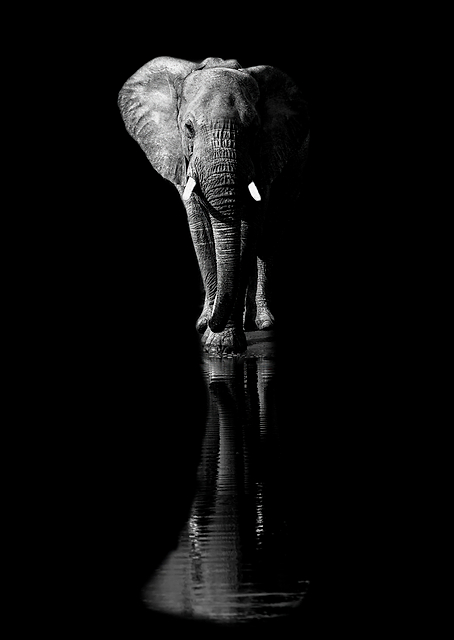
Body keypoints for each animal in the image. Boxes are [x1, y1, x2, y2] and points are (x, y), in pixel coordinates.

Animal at [118, 56, 309, 355]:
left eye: (254, 129)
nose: (210, 323)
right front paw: (208, 329)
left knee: (268, 238)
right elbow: (202, 233)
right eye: (188, 128)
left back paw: (261, 322)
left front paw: (222, 345)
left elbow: (247, 232)